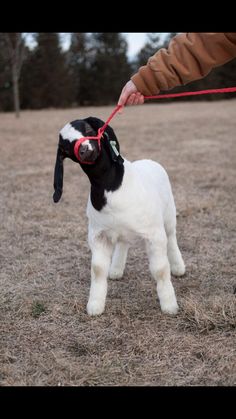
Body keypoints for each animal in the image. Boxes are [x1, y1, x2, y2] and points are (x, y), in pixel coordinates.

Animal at [52, 116, 185, 316]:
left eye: (88, 128)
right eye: (66, 147)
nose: (84, 150)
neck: (111, 186)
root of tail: (148, 160)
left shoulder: (154, 234)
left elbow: (160, 269)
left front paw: (169, 305)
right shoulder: (98, 235)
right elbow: (98, 269)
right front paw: (95, 306)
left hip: (168, 215)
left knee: (172, 237)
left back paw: (178, 268)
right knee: (123, 243)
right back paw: (115, 270)